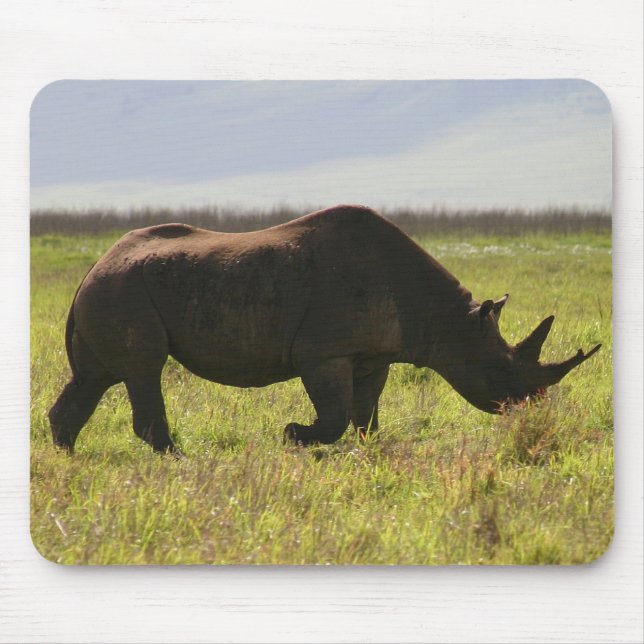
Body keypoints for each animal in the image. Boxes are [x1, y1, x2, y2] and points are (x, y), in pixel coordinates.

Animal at [49, 205, 600, 454]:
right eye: (501, 375)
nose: (530, 412)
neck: (449, 322)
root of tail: (93, 267)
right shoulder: (324, 352)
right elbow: (334, 415)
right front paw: (294, 436)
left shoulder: (374, 355)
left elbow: (365, 415)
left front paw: (368, 452)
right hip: (122, 289)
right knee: (144, 369)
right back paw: (181, 462)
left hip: (116, 288)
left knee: (95, 377)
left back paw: (68, 458)